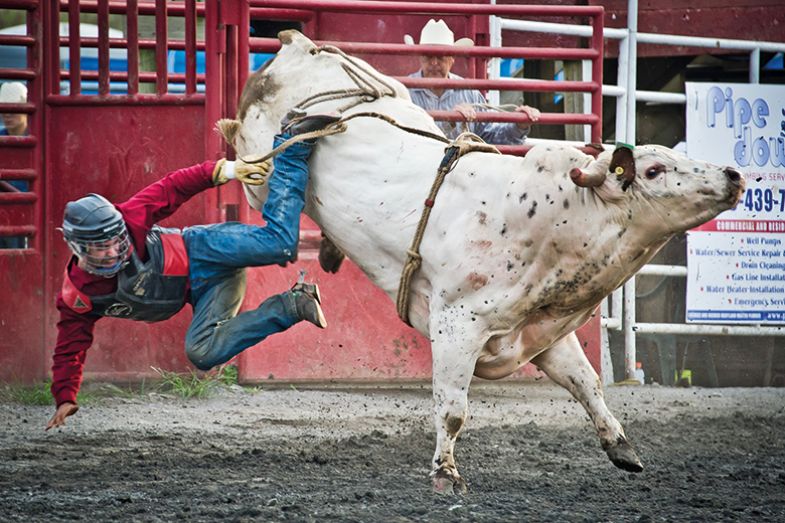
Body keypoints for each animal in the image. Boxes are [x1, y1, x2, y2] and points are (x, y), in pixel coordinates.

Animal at [217, 31, 744, 496]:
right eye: (654, 170)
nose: (733, 174)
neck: (553, 218)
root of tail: (299, 46)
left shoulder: (542, 330)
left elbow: (586, 381)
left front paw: (622, 446)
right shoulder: (457, 323)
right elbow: (453, 408)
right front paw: (445, 474)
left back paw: (328, 250)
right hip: (262, 165)